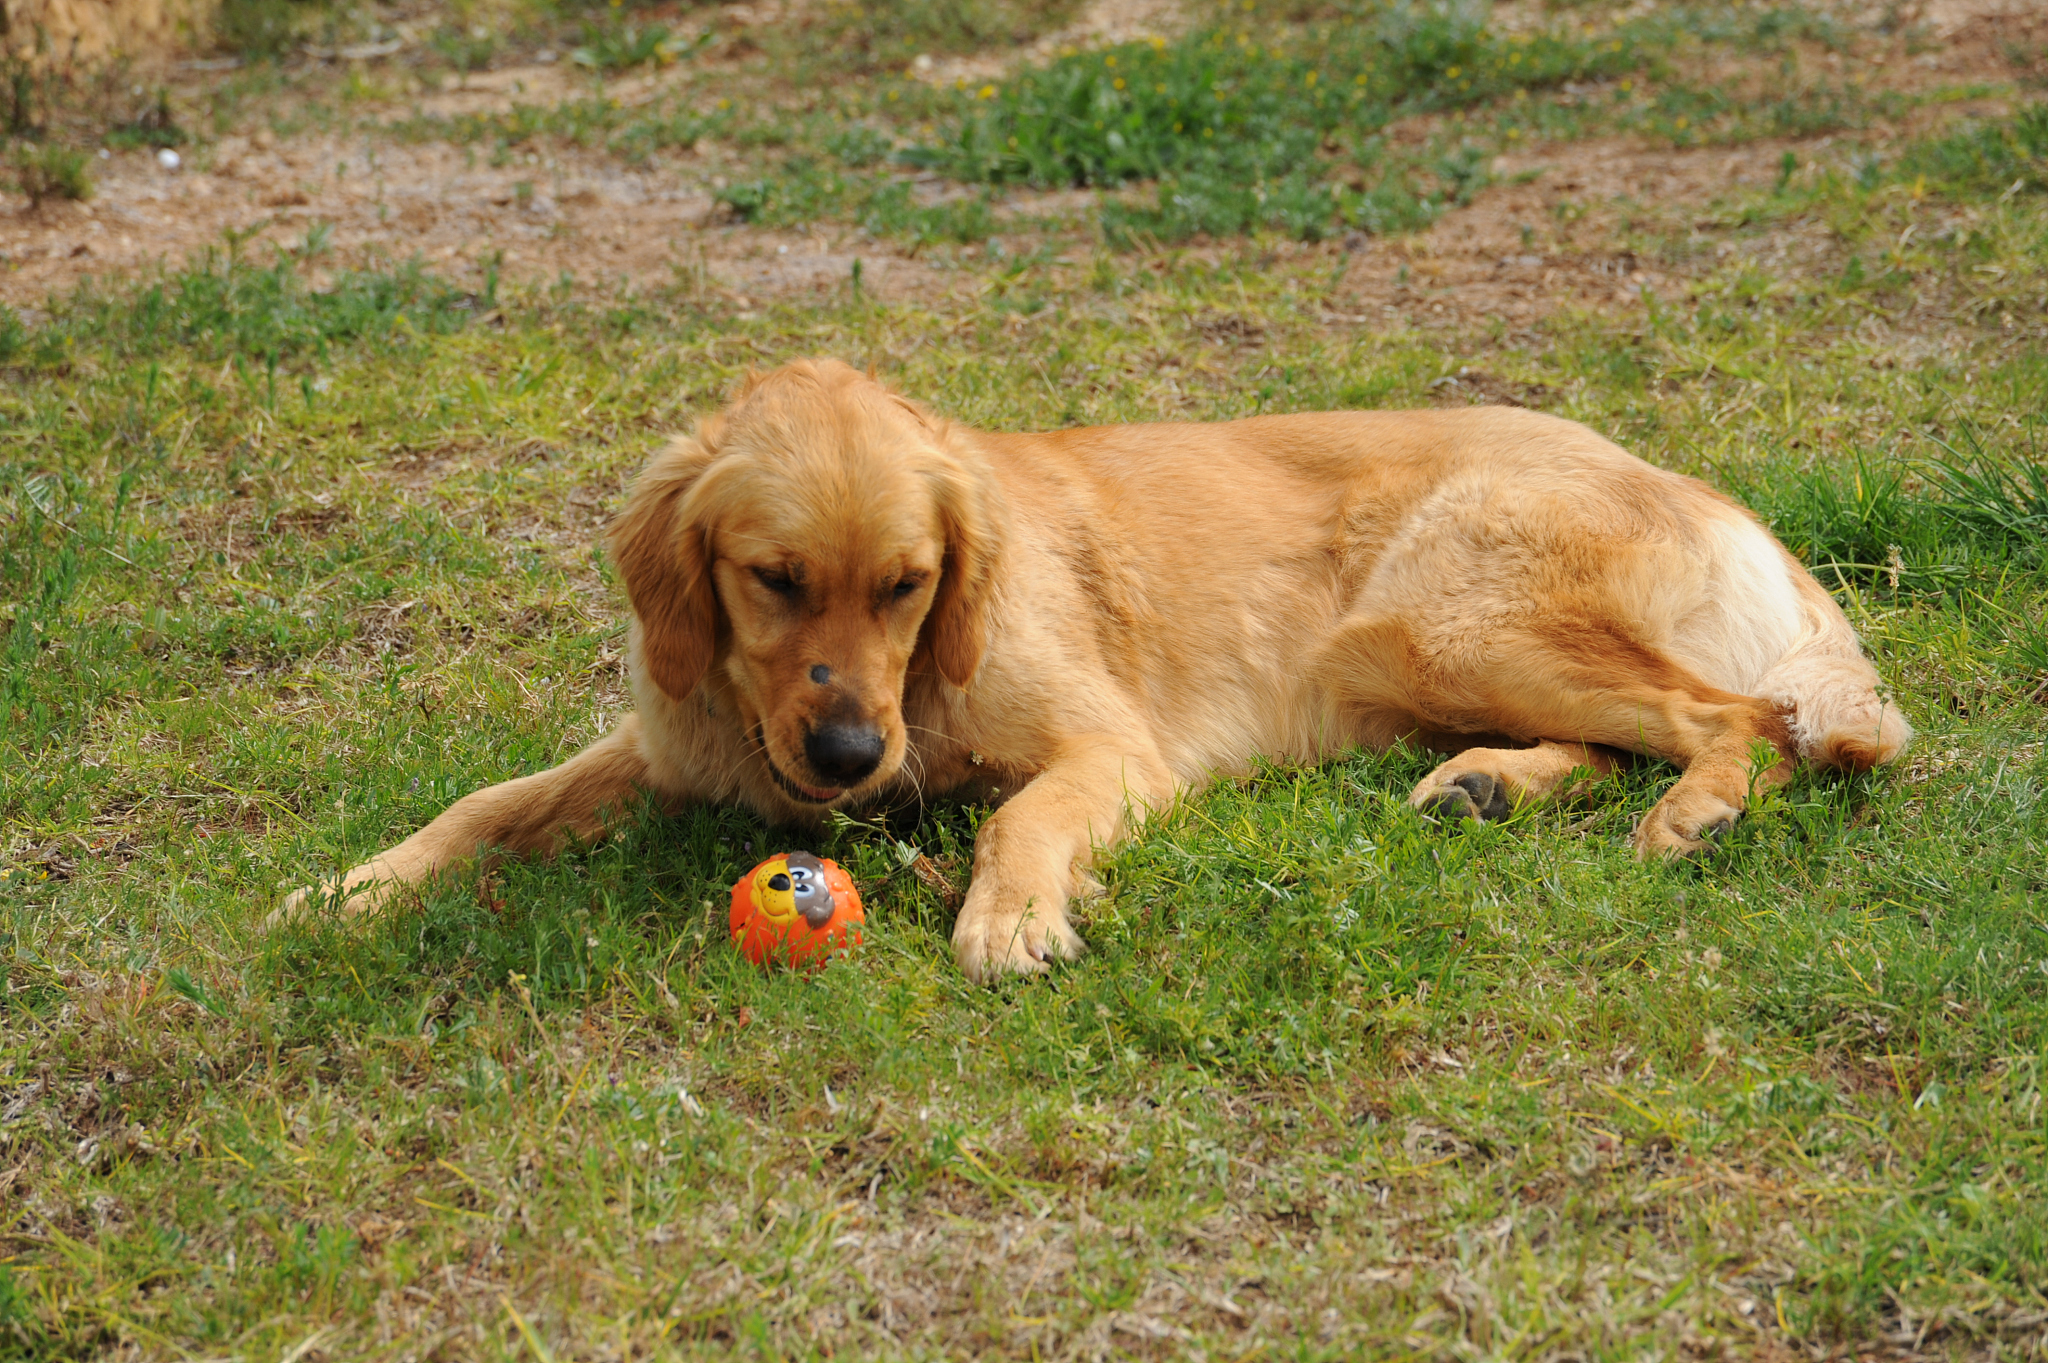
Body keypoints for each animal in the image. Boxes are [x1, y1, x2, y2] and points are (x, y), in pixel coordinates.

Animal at [280, 358, 1908, 978]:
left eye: (908, 584)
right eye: (772, 579)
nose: (848, 762)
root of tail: (1690, 479)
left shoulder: (1107, 750)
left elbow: (1016, 815)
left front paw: (1009, 917)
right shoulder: (679, 744)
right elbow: (490, 802)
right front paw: (350, 887)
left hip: (1434, 619)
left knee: (1738, 717)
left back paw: (1694, 809)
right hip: (1424, 656)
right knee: (1641, 725)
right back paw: (1487, 788)